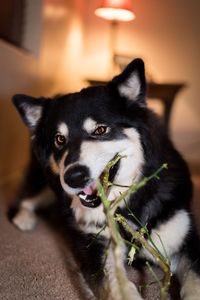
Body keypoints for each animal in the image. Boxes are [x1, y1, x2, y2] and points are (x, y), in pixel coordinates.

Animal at [11, 59, 200, 300]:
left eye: (100, 130)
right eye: (59, 139)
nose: (73, 177)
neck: (125, 206)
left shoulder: (186, 242)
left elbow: (195, 282)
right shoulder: (96, 247)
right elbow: (117, 287)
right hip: (47, 183)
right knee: (27, 197)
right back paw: (24, 218)